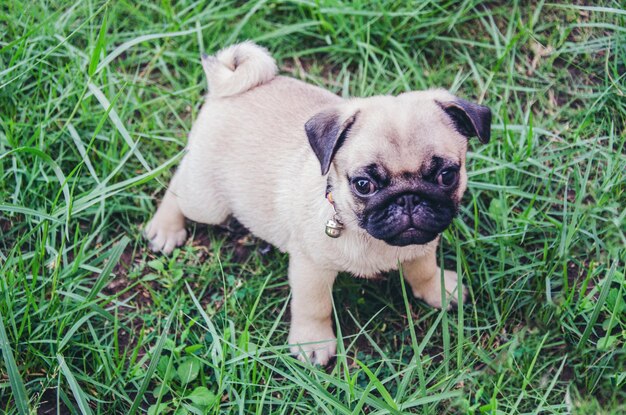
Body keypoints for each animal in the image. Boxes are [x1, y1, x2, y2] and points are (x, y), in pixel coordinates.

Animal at [144, 42, 490, 366]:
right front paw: (313, 341)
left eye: (447, 175)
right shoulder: (311, 269)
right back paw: (165, 228)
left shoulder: (422, 244)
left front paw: (439, 289)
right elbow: (314, 306)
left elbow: (424, 270)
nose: (408, 198)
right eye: (363, 184)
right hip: (207, 203)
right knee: (179, 184)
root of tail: (224, 85)